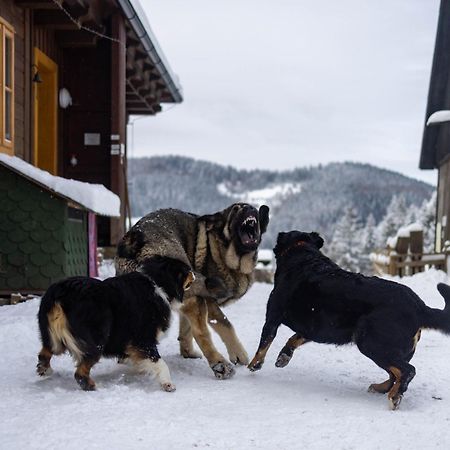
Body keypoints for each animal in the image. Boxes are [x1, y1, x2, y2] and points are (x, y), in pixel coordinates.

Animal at [36, 255, 194, 392]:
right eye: (187, 270)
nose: (194, 274)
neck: (158, 282)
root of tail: (61, 293)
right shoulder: (143, 339)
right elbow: (159, 362)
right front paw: (168, 384)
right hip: (96, 340)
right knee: (80, 373)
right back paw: (93, 386)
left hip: (52, 336)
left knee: (45, 352)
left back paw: (45, 369)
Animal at [116, 204, 270, 380]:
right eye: (236, 209)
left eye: (253, 208)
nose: (250, 208)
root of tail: (134, 241)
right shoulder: (207, 301)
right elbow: (225, 324)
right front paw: (239, 354)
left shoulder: (187, 301)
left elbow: (185, 328)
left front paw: (187, 353)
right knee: (201, 333)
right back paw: (220, 365)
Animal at [248, 230, 450, 410]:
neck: (303, 253)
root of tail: (419, 307)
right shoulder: (311, 329)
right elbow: (293, 339)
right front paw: (284, 356)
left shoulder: (273, 317)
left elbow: (263, 344)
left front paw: (253, 365)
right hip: (394, 348)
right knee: (395, 373)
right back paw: (382, 388)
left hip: (372, 343)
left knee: (407, 370)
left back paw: (394, 396)